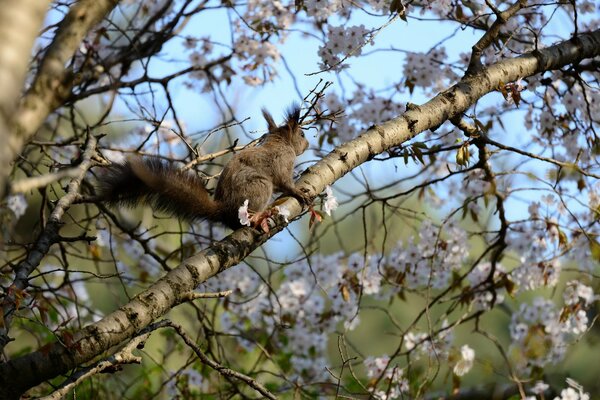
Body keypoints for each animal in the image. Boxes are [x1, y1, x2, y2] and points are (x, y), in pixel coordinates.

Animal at [97, 106, 310, 230]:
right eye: (301, 134)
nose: (307, 145)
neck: (280, 142)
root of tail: (224, 209)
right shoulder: (282, 161)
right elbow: (284, 181)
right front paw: (298, 192)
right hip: (259, 186)